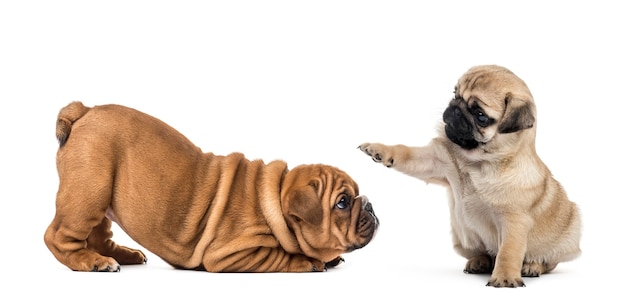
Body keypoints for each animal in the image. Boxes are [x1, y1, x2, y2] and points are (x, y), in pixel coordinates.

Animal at [45, 101, 376, 272]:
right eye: (343, 202)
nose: (371, 206)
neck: (277, 199)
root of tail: (85, 110)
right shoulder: (231, 255)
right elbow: (279, 256)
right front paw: (307, 261)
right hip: (88, 192)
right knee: (58, 237)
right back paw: (92, 261)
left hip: (100, 195)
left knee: (99, 236)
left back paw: (124, 255)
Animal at [356, 65, 580, 286]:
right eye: (455, 94)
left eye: (480, 115)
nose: (455, 108)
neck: (477, 163)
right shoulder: (434, 161)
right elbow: (405, 152)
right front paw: (379, 150)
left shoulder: (514, 221)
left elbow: (509, 251)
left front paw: (505, 277)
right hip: (461, 238)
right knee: (485, 254)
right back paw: (479, 262)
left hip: (568, 237)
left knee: (548, 261)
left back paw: (532, 266)